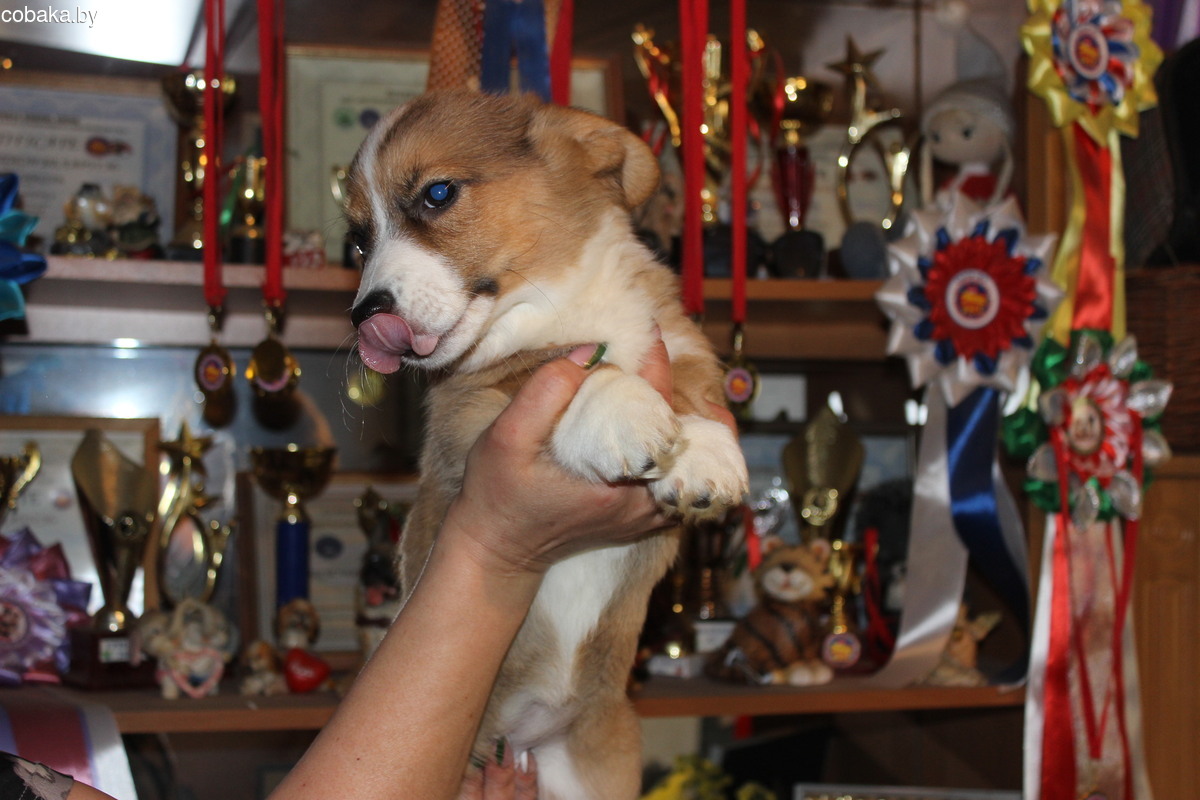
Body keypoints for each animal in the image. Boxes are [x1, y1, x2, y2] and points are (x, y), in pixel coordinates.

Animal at [346, 89, 749, 799]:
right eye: (359, 240)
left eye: (437, 194)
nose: (364, 316)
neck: (557, 304)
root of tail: (529, 731)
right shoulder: (470, 408)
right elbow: (564, 372)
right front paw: (618, 408)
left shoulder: (677, 342)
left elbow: (695, 393)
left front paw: (703, 455)